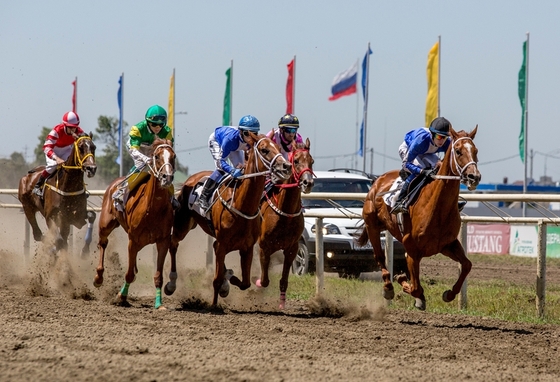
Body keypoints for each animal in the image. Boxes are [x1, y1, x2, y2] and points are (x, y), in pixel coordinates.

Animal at [94, 138, 176, 310]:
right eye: (156, 156)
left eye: (174, 156)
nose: (167, 177)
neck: (153, 209)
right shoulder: (133, 240)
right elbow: (129, 274)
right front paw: (121, 297)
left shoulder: (163, 241)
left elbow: (158, 275)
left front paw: (159, 304)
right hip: (106, 224)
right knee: (103, 243)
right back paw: (98, 277)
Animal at [166, 133, 290, 306]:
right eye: (264, 150)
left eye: (279, 148)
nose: (286, 166)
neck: (241, 205)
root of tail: (189, 180)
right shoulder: (224, 244)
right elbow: (217, 279)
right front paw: (214, 304)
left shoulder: (247, 247)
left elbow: (245, 283)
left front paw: (228, 279)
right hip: (183, 225)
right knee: (173, 244)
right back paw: (171, 283)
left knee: (211, 247)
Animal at [255, 139, 316, 308]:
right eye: (296, 161)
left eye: (312, 161)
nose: (308, 182)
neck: (285, 213)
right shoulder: (264, 246)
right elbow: (264, 280)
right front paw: (257, 283)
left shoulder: (292, 249)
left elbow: (283, 280)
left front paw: (282, 303)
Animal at [356, 125, 480, 310]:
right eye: (458, 151)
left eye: (475, 151)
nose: (474, 177)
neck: (438, 209)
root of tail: (378, 180)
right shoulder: (412, 249)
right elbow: (415, 287)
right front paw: (404, 282)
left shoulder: (447, 244)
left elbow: (466, 265)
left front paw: (449, 294)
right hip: (372, 226)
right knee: (379, 257)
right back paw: (388, 287)